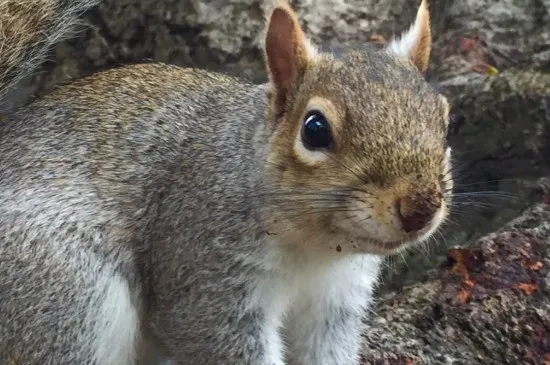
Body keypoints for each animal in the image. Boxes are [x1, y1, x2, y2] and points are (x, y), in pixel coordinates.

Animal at [0, 0, 454, 364]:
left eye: (445, 119)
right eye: (314, 129)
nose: (421, 207)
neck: (315, 249)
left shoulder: (335, 302)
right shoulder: (206, 270)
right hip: (65, 296)